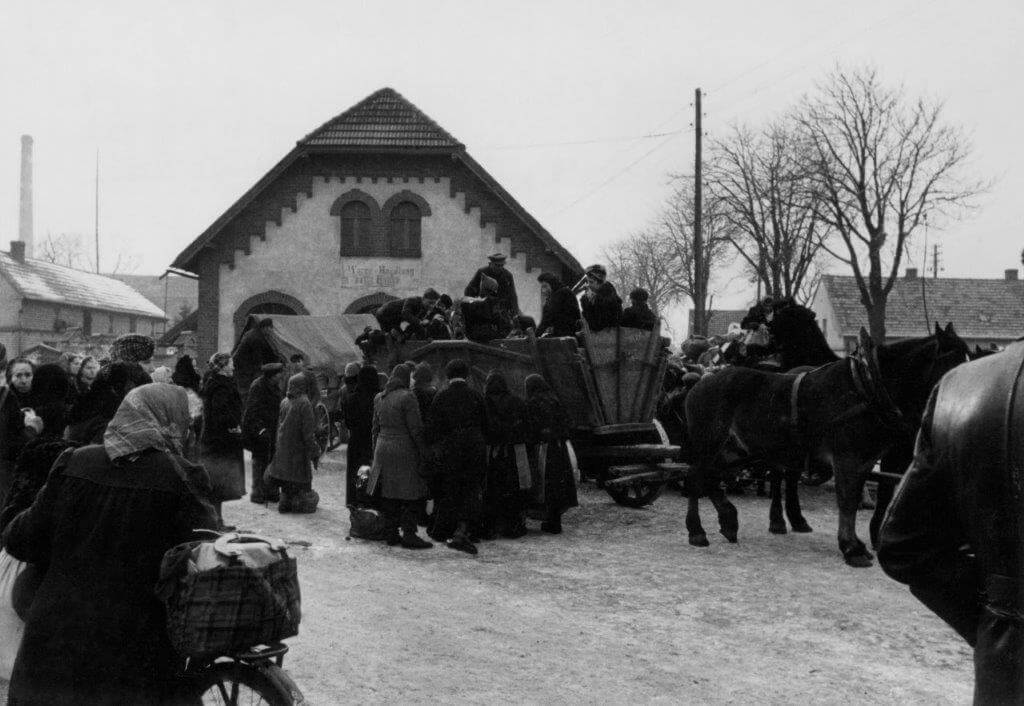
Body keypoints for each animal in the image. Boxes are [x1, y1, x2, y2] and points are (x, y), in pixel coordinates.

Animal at [679, 325, 966, 565]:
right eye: (954, 364)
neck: (866, 388)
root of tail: (699, 384)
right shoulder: (847, 459)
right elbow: (847, 502)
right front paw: (851, 549)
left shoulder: (863, 461)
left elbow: (853, 499)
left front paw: (857, 544)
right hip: (709, 442)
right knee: (696, 477)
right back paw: (697, 532)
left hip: (734, 448)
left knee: (711, 476)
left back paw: (728, 520)